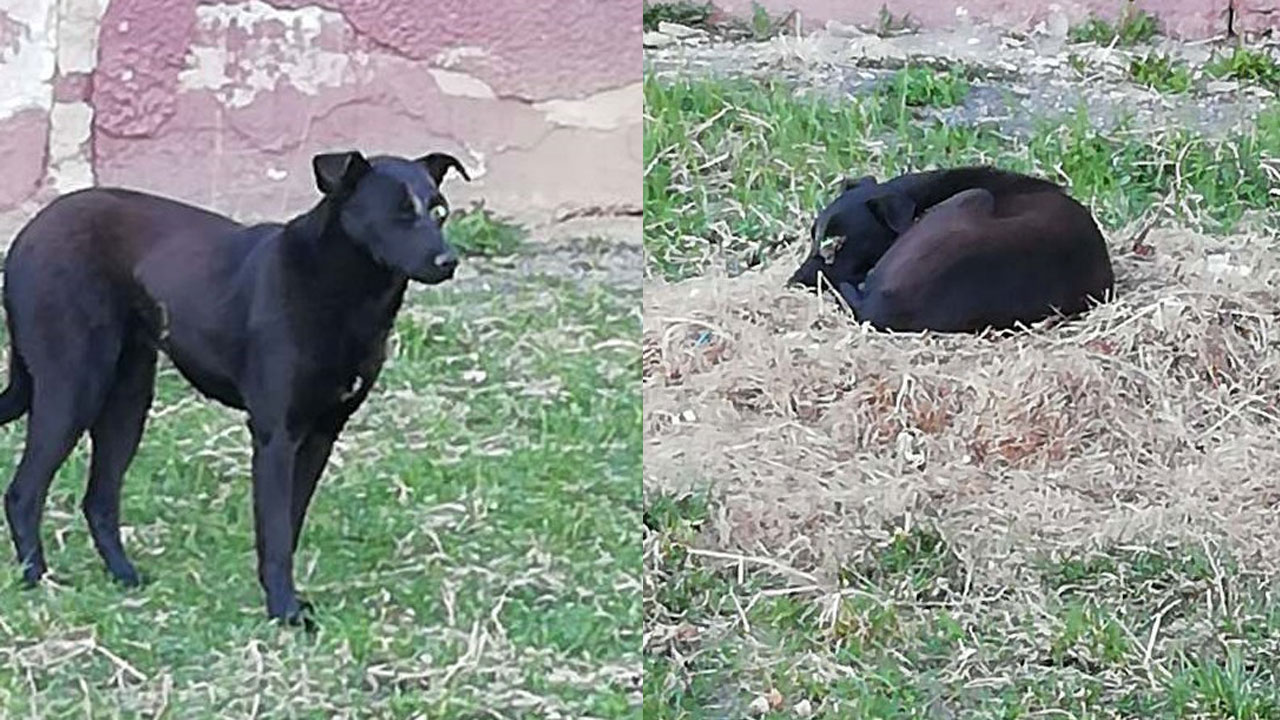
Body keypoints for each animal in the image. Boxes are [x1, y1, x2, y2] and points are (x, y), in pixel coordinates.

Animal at [0, 149, 468, 622]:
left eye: (439, 211)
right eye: (398, 215)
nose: (449, 262)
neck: (346, 292)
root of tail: (29, 232)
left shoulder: (321, 435)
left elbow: (288, 526)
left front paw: (284, 600)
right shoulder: (275, 435)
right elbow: (276, 533)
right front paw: (285, 611)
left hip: (128, 400)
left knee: (98, 499)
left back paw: (124, 577)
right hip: (73, 386)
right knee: (23, 493)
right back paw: (39, 579)